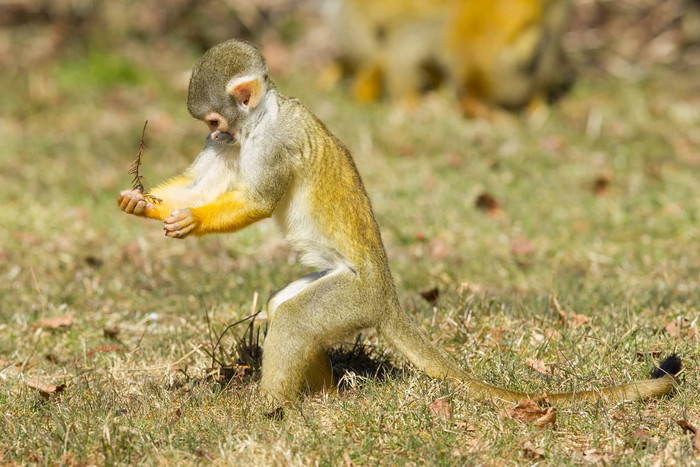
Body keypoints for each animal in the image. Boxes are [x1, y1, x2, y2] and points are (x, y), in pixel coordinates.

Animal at [119, 40, 680, 404]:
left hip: (354, 296)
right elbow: (202, 184)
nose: (217, 136)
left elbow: (257, 201)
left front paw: (190, 222)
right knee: (285, 309)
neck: (258, 121)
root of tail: (387, 296)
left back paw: (269, 410)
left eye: (215, 120)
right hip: (345, 290)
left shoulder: (274, 142)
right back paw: (321, 397)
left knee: (297, 318)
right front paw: (142, 203)